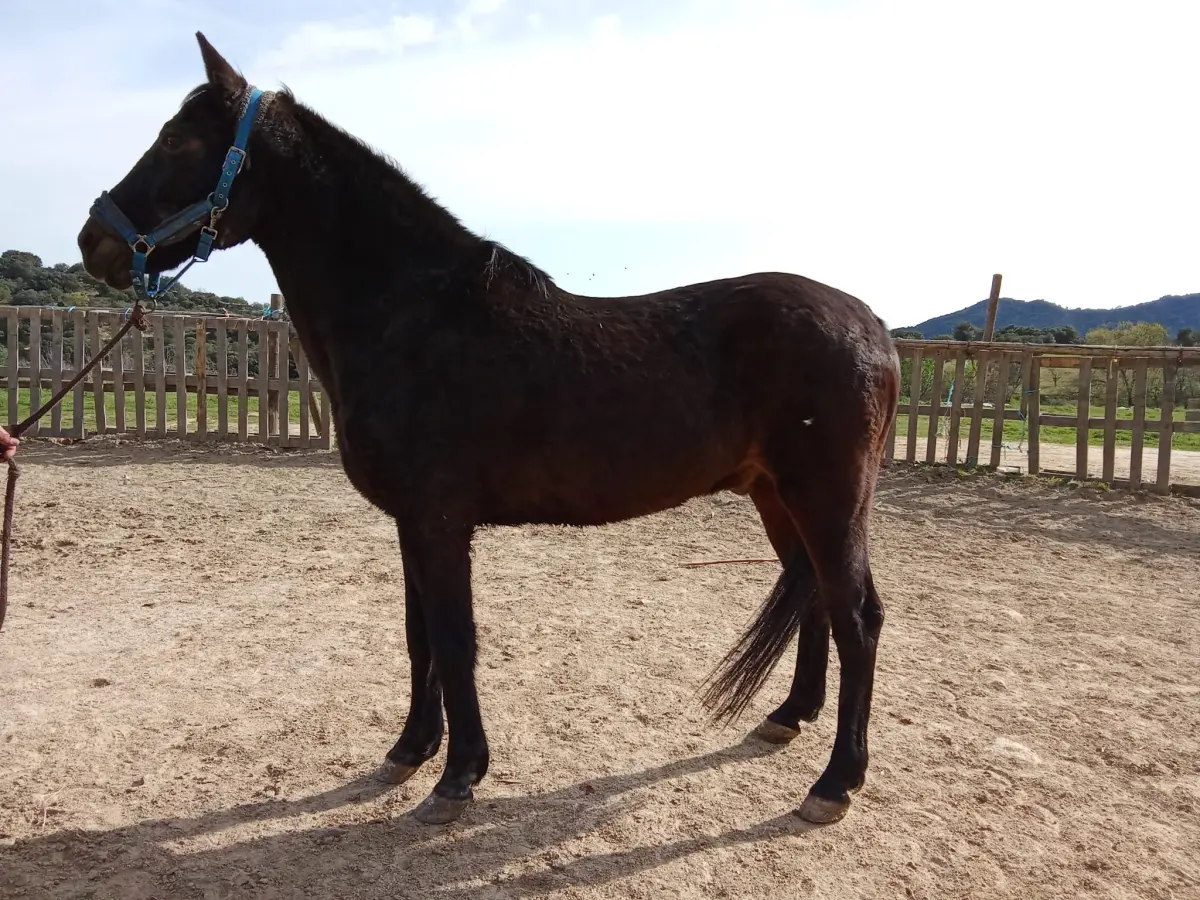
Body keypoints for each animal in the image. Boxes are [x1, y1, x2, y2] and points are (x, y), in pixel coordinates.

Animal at [76, 33, 900, 827]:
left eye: (177, 139)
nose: (93, 242)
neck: (415, 316)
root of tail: (872, 326)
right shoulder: (410, 521)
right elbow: (420, 639)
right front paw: (409, 752)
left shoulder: (441, 520)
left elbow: (454, 640)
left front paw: (458, 778)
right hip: (776, 497)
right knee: (818, 601)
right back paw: (787, 718)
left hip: (826, 499)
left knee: (858, 618)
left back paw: (834, 784)